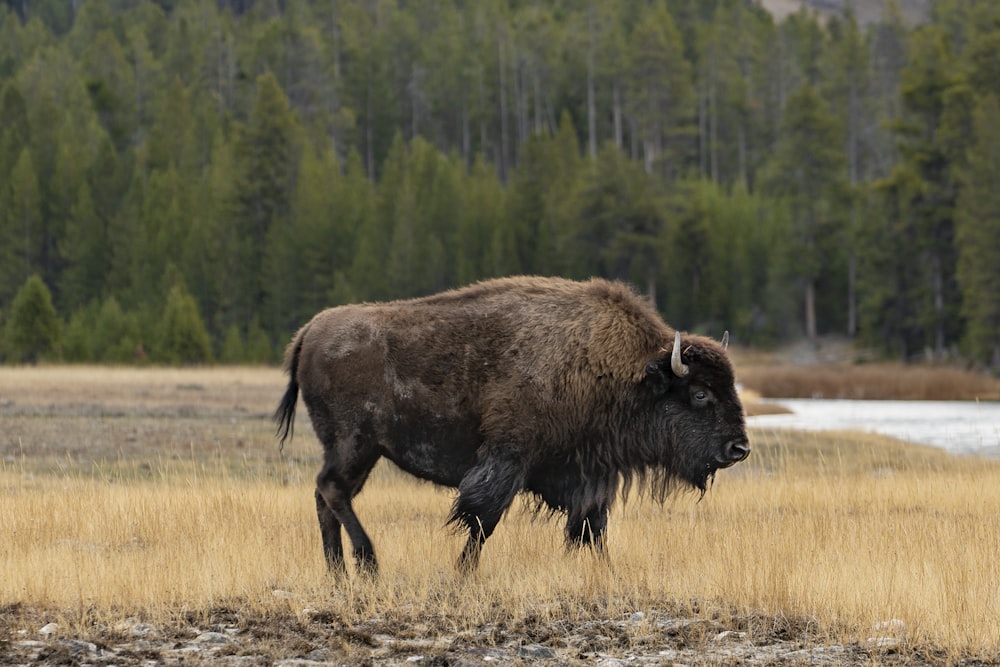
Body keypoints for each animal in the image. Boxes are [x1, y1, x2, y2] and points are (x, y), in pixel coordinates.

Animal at [276, 276, 752, 576]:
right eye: (700, 394)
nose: (739, 449)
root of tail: (309, 331)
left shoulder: (590, 475)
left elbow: (592, 529)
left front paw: (607, 573)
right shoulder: (507, 459)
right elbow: (482, 521)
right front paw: (463, 574)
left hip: (363, 452)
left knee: (327, 496)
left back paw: (338, 575)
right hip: (355, 444)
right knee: (331, 490)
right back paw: (369, 564)